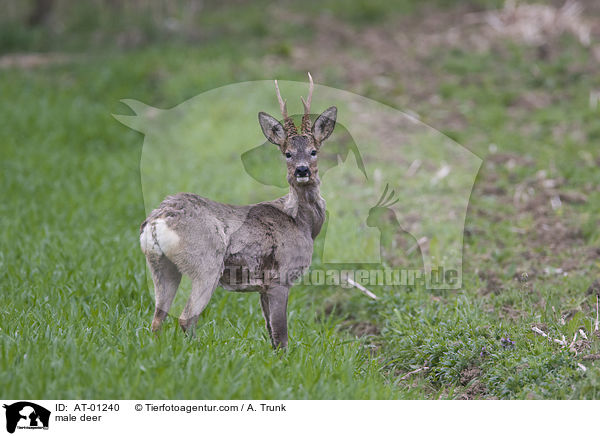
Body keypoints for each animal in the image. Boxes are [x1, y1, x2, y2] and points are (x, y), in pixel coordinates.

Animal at [141, 74, 338, 348]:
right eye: (287, 153)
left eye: (314, 151)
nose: (302, 170)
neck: (303, 223)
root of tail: (158, 220)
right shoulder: (280, 278)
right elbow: (281, 335)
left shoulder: (263, 287)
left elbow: (270, 332)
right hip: (206, 264)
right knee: (186, 318)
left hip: (160, 265)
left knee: (157, 319)